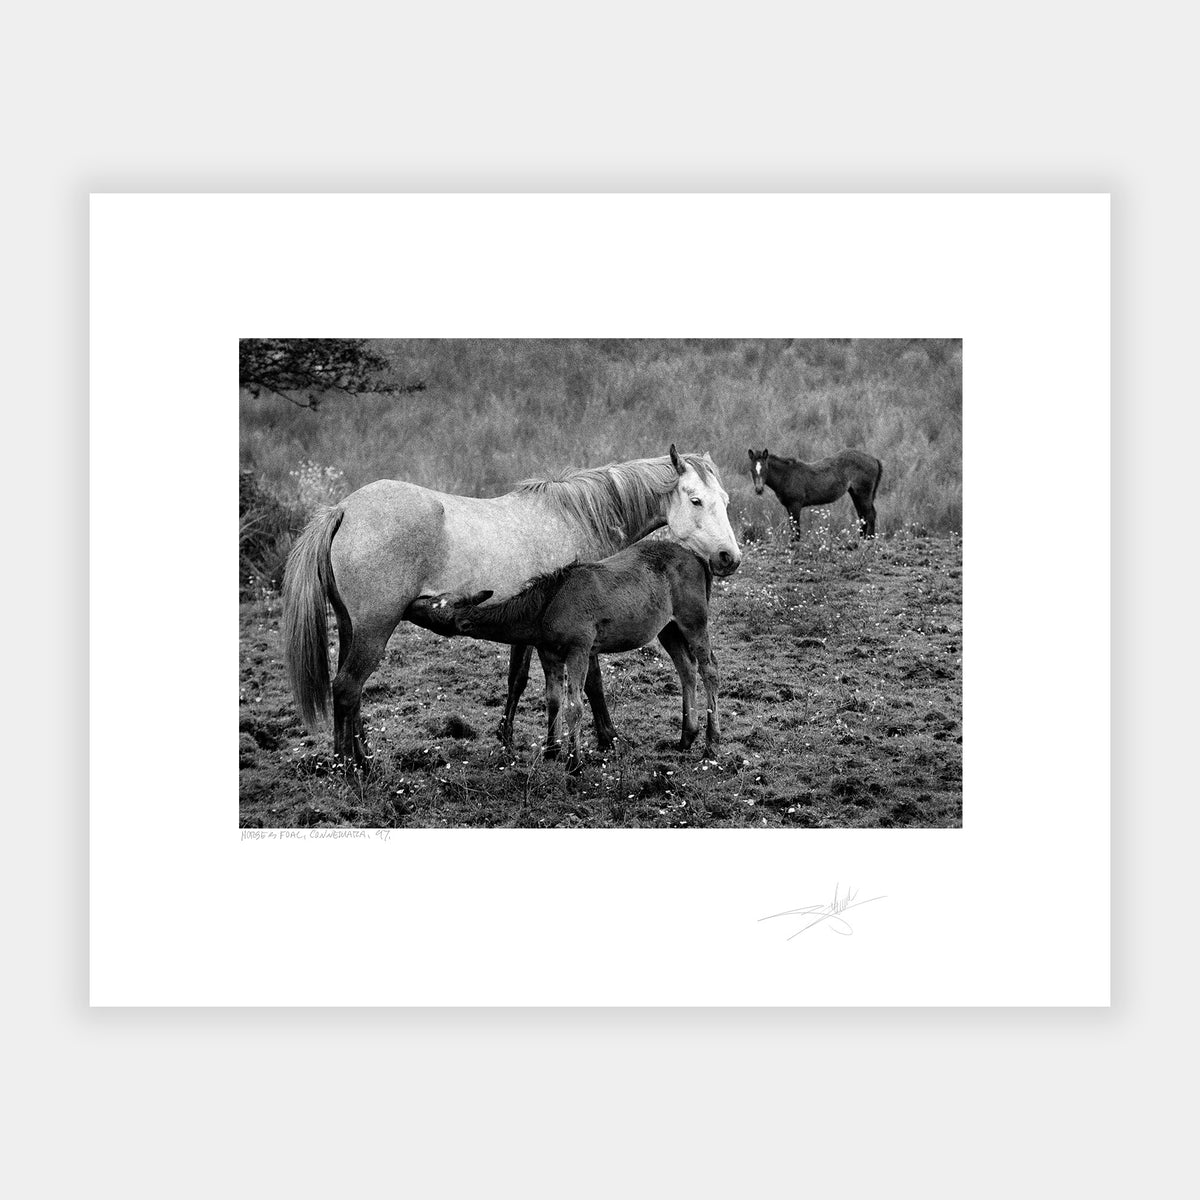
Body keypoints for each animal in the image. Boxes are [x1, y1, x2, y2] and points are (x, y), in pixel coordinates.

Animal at [410, 541, 720, 773]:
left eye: (435, 606)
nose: (414, 601)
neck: (545, 607)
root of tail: (699, 559)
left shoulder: (579, 648)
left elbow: (575, 706)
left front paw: (575, 762)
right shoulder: (549, 652)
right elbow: (553, 698)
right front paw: (551, 749)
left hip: (694, 620)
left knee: (709, 669)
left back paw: (711, 742)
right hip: (668, 628)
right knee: (686, 668)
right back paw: (686, 736)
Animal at [747, 447, 883, 537]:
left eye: (765, 469)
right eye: (751, 470)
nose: (759, 490)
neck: (786, 475)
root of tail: (874, 459)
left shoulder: (795, 505)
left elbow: (796, 528)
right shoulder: (788, 506)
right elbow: (792, 527)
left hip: (863, 493)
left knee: (870, 515)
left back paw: (869, 540)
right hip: (855, 494)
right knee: (863, 516)